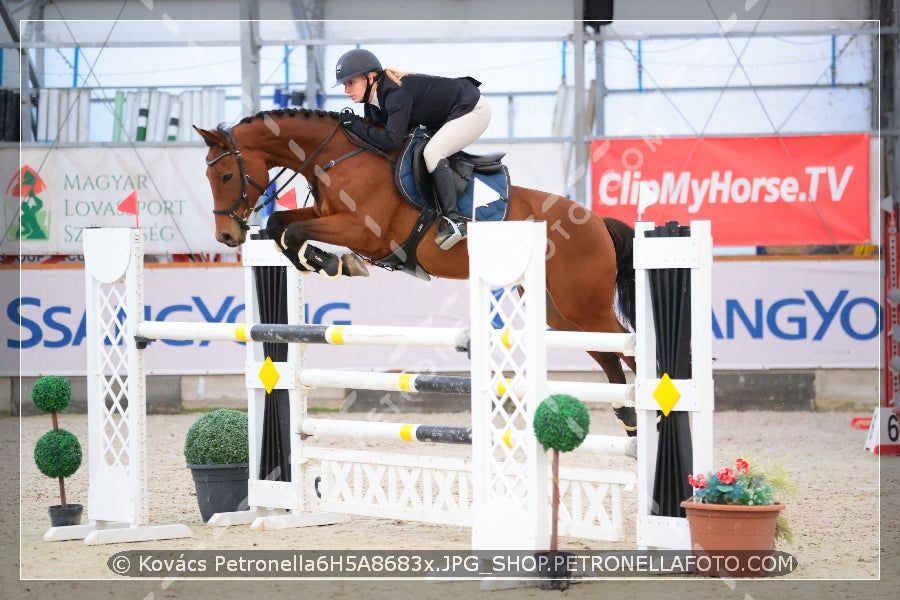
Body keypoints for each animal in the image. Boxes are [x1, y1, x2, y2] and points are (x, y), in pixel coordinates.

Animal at [193, 109, 636, 436]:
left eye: (227, 175)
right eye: (209, 176)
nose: (227, 235)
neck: (337, 156)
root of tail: (597, 220)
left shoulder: (362, 229)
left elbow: (295, 230)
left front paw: (336, 263)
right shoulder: (324, 215)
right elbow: (279, 224)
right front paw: (316, 261)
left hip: (584, 306)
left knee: (627, 345)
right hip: (560, 312)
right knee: (609, 355)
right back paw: (628, 417)